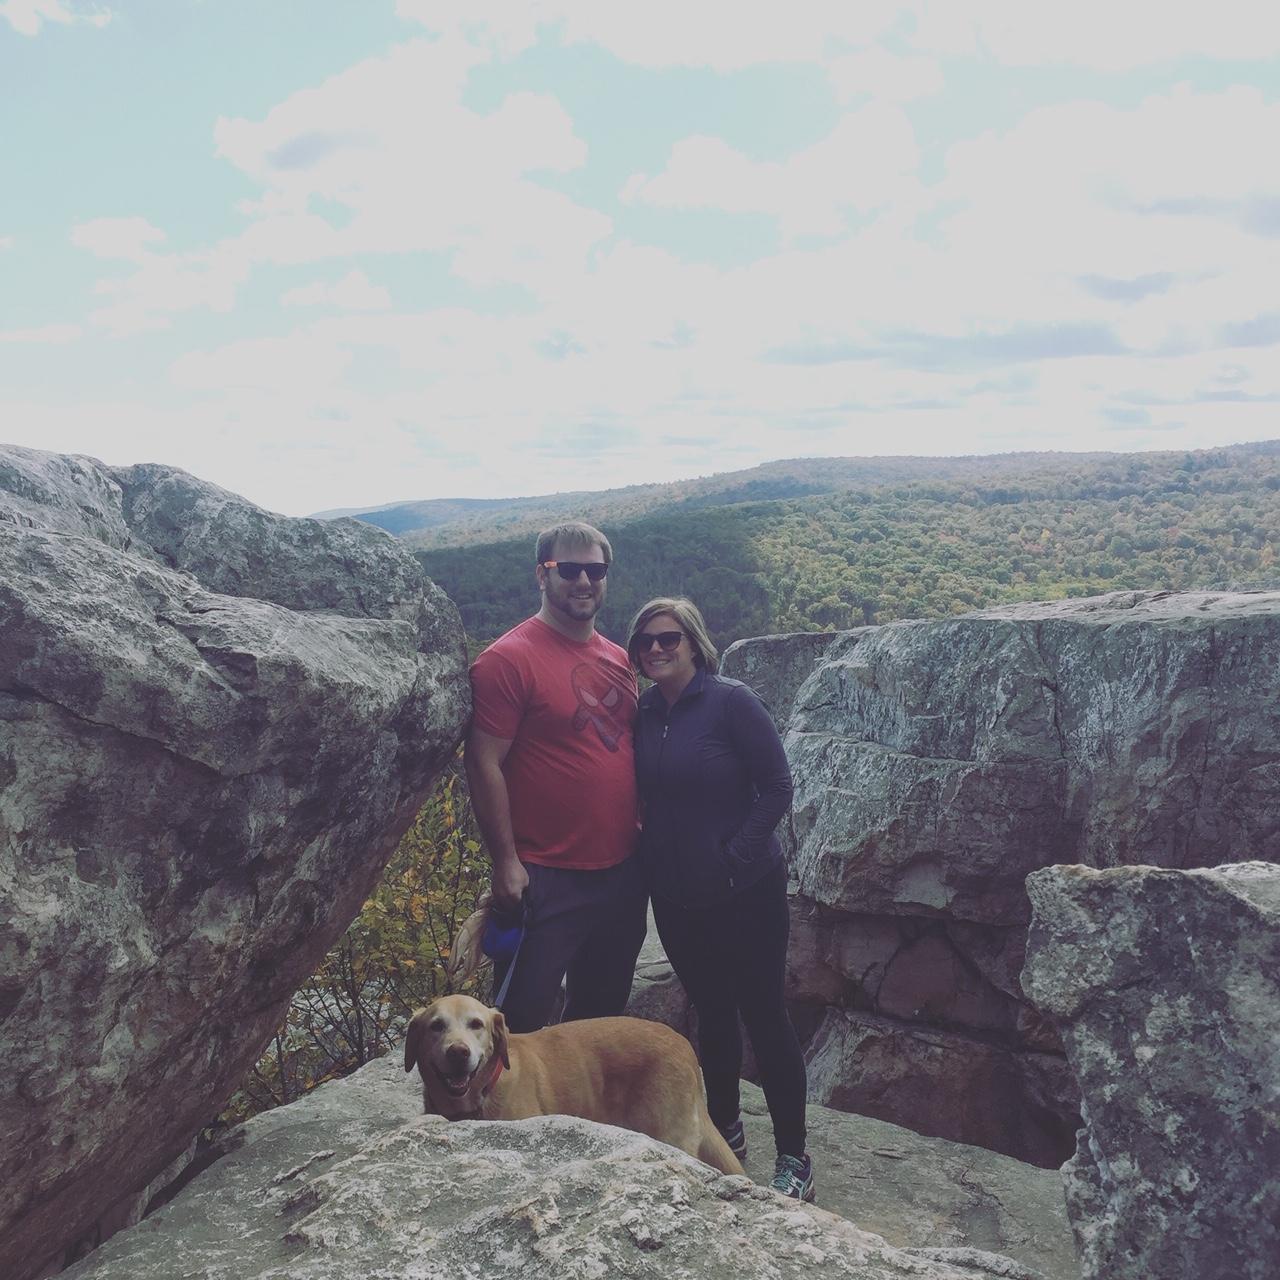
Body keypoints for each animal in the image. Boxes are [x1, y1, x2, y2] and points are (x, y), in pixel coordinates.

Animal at [403, 994, 743, 1176]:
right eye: (436, 1026)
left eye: (476, 1024)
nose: (458, 1052)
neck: (483, 1093)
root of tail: (684, 1045)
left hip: (669, 1135)